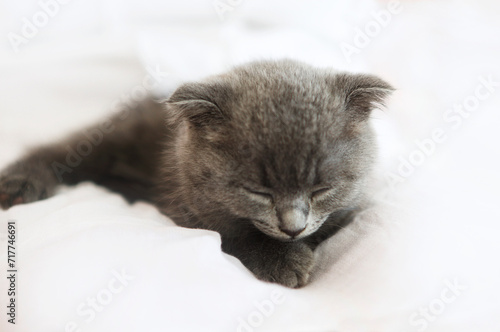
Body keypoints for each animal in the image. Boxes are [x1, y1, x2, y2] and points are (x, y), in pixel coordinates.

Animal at [0, 59, 390, 288]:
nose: (292, 227)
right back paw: (20, 184)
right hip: (113, 138)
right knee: (60, 150)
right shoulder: (182, 205)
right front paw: (281, 260)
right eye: (258, 192)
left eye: (321, 189)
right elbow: (230, 234)